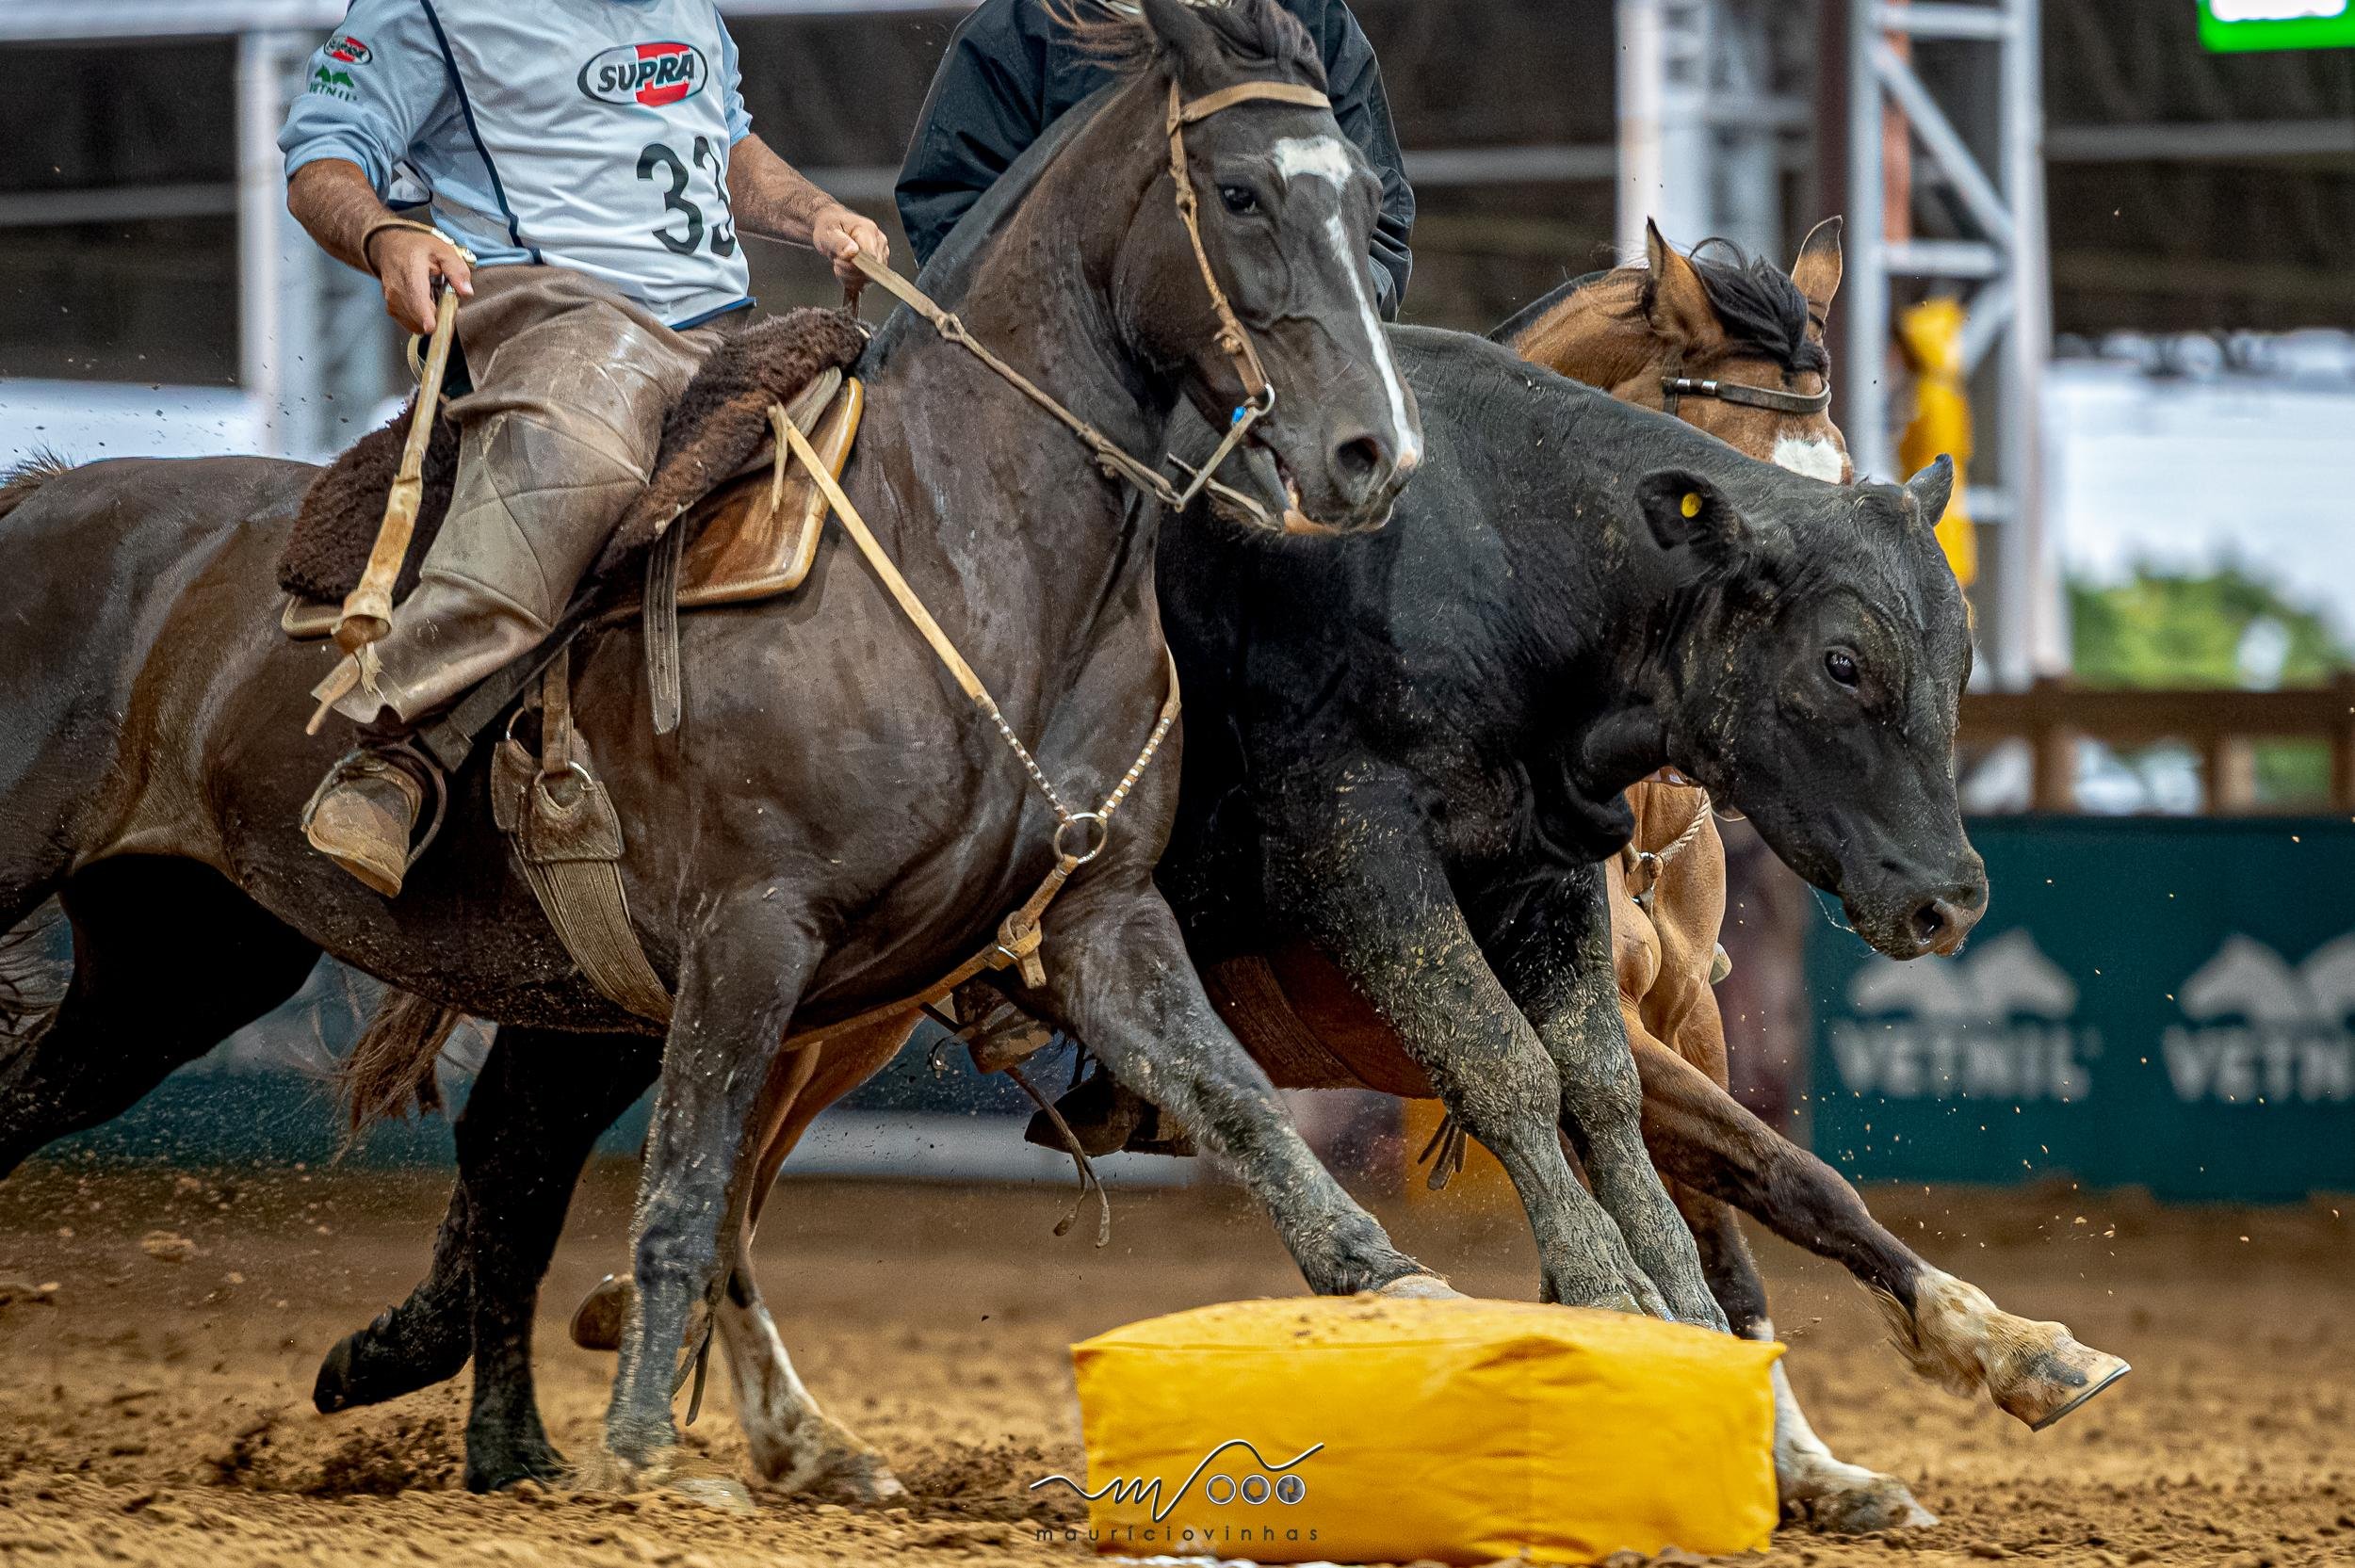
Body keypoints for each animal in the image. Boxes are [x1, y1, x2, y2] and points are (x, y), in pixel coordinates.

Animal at [0, 0, 1430, 1492]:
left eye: (1365, 197)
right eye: (1241, 194)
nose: (1370, 452)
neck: (962, 542)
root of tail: (48, 500)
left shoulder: (1099, 919)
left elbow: (1245, 1110)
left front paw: (1402, 1293)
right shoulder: (753, 931)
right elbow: (687, 1193)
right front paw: (641, 1449)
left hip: (184, 962)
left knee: (443, 1149)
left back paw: (513, 1447)